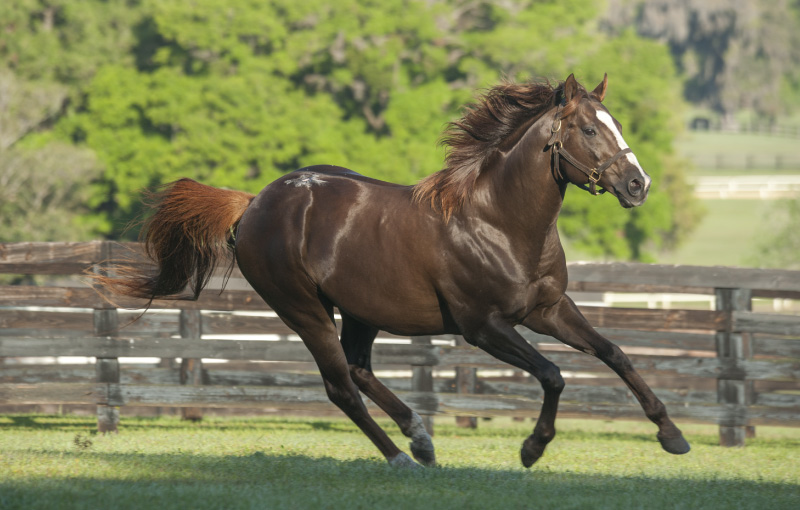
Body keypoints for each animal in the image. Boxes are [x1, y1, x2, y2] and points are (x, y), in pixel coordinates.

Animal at [96, 73, 690, 468]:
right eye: (589, 129)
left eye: (615, 124)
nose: (638, 185)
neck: (498, 220)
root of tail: (254, 204)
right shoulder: (484, 327)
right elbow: (553, 374)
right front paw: (531, 448)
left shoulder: (548, 309)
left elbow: (614, 353)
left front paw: (672, 435)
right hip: (303, 310)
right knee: (340, 385)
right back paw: (402, 457)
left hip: (361, 309)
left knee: (359, 370)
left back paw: (420, 439)